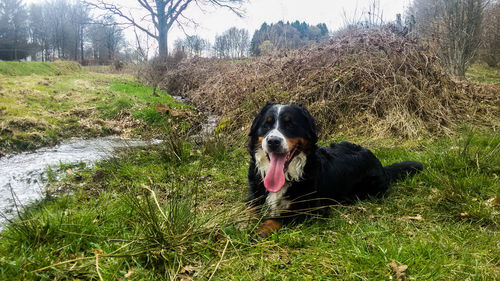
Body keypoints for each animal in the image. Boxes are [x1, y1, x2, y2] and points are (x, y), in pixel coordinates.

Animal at [246, 101, 422, 237]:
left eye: (290, 125)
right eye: (266, 124)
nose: (273, 141)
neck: (289, 175)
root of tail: (378, 162)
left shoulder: (309, 209)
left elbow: (278, 218)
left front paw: (261, 231)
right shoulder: (254, 195)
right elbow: (249, 209)